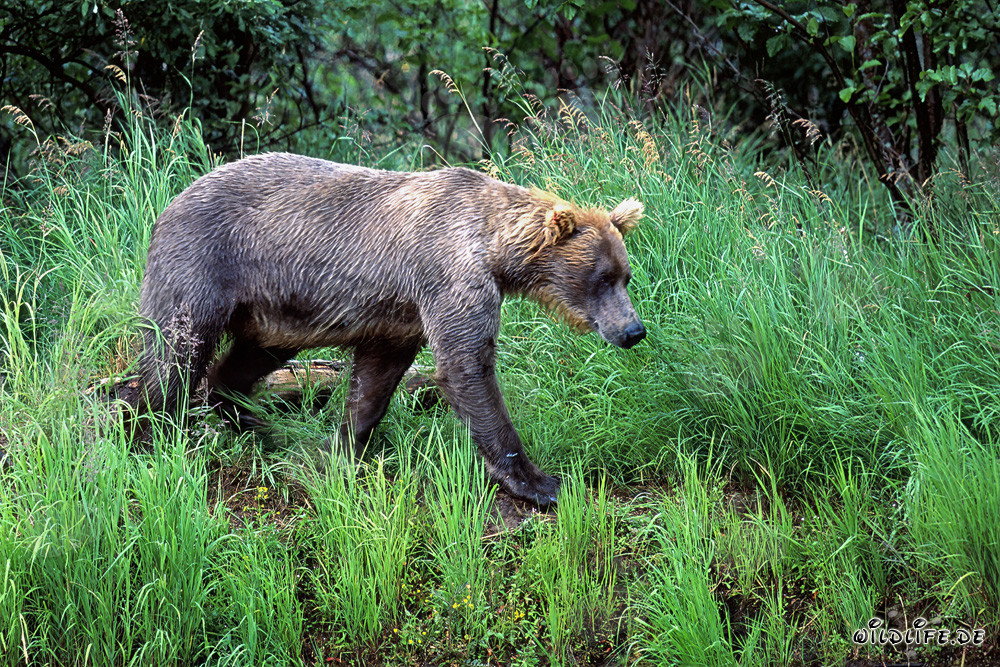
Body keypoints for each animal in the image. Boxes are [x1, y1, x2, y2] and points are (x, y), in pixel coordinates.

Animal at [128, 152, 645, 506]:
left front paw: (342, 449)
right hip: (203, 264)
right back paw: (148, 432)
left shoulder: (401, 313)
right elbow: (468, 366)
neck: (494, 250)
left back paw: (255, 422)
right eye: (601, 278)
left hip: (273, 313)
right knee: (176, 352)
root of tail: (169, 203)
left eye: (625, 275)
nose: (633, 329)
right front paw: (541, 483)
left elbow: (376, 379)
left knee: (246, 357)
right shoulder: (447, 276)